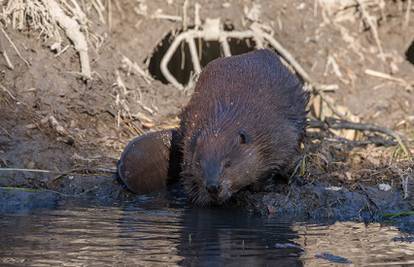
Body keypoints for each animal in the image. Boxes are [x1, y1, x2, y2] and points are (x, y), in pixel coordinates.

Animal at [118, 49, 308, 206]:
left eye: (228, 163)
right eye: (200, 163)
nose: (213, 186)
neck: (225, 117)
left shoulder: (276, 132)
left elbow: (275, 162)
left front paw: (264, 185)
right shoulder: (190, 139)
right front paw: (200, 197)